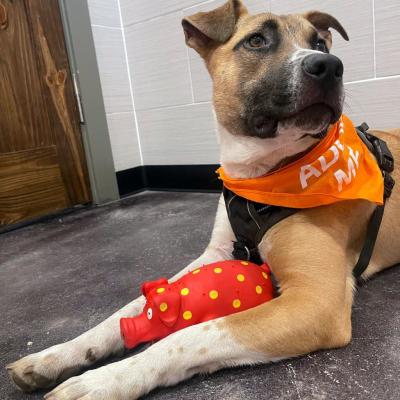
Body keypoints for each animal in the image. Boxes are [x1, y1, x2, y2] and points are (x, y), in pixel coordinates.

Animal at [6, 1, 400, 398]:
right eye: (256, 41)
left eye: (320, 43)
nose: (330, 66)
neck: (262, 176)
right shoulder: (217, 253)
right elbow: (128, 307)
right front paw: (59, 354)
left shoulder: (316, 303)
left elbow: (191, 335)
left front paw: (104, 380)